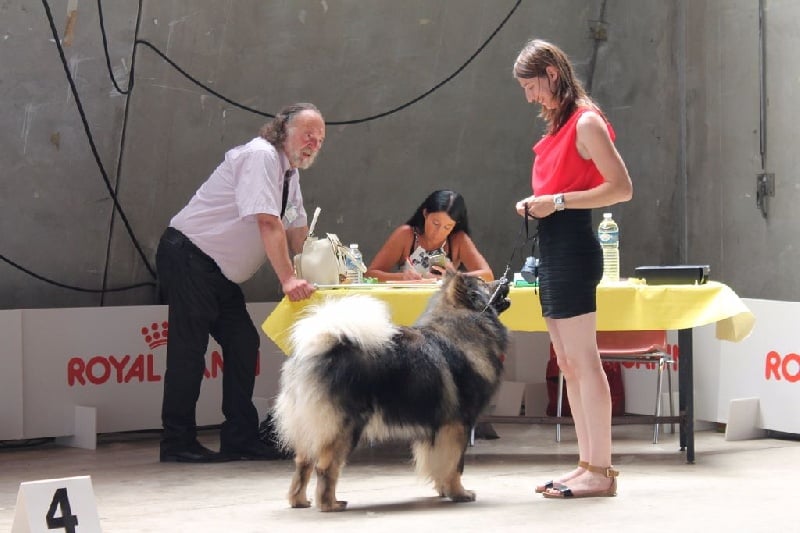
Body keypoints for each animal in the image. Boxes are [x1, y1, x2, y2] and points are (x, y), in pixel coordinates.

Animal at [273, 272, 510, 511]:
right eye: (483, 283)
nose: (505, 280)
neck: (463, 327)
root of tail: (318, 347)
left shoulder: (435, 428)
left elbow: (437, 463)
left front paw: (443, 490)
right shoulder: (457, 424)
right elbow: (455, 465)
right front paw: (459, 493)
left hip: (310, 427)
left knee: (303, 464)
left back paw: (300, 501)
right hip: (344, 427)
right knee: (325, 466)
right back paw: (331, 504)